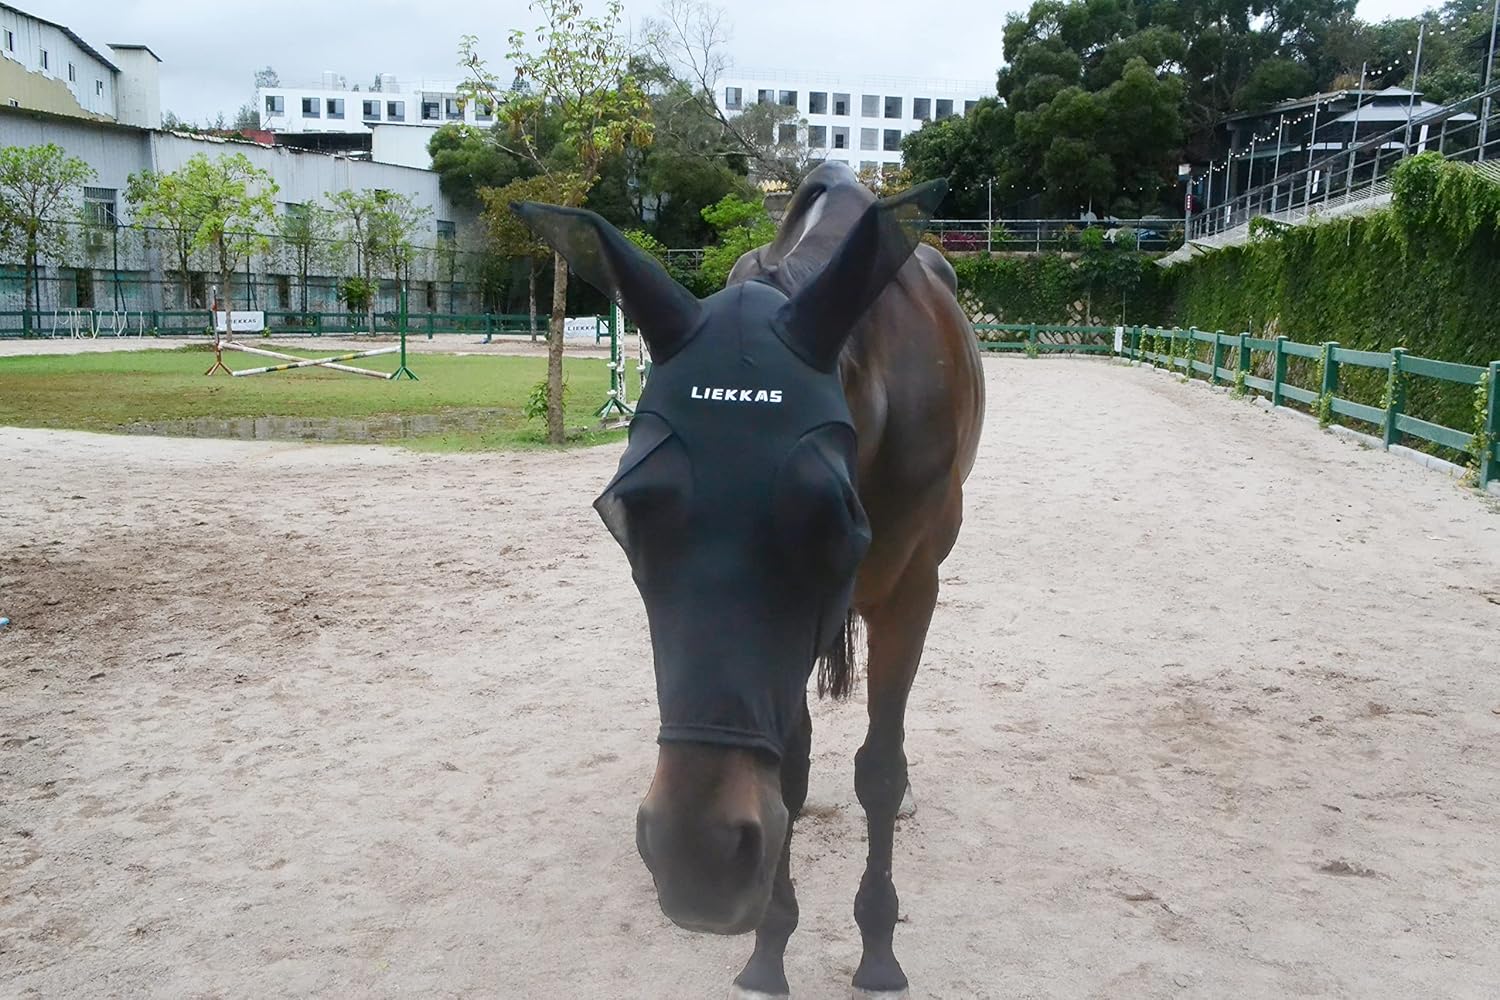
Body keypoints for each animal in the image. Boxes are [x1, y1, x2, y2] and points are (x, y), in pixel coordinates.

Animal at [514, 160, 985, 998]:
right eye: (626, 514)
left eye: (832, 522)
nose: (695, 855)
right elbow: (788, 775)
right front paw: (771, 944)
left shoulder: (911, 592)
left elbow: (879, 769)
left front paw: (878, 945)